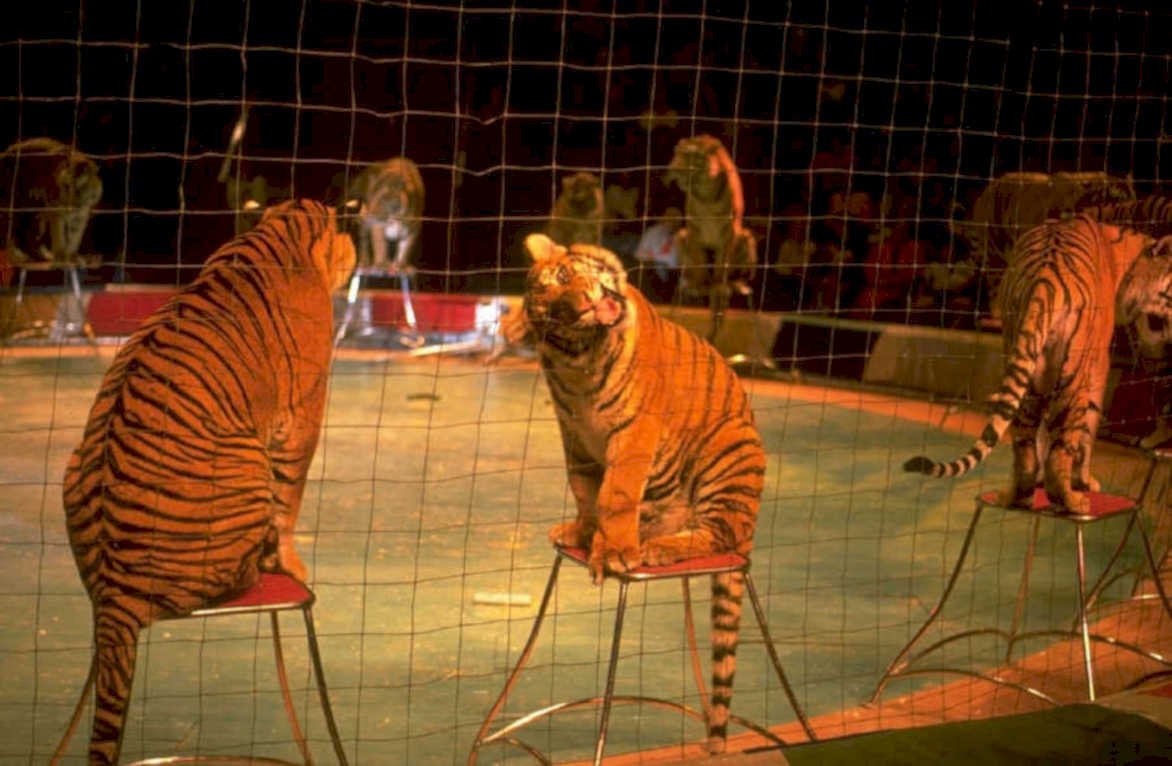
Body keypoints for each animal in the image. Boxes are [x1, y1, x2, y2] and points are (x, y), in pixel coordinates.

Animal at [59, 199, 356, 766]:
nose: (353, 245)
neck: (279, 232)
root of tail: (115, 594)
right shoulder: (304, 417)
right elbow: (290, 498)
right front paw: (291, 564)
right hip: (246, 460)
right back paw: (258, 568)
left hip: (73, 466)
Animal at [521, 232, 765, 752]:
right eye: (554, 313)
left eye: (566, 277)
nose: (583, 305)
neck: (581, 362)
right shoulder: (575, 435)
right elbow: (585, 489)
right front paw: (584, 533)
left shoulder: (634, 429)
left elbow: (616, 493)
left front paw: (613, 552)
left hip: (729, 449)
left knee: (717, 533)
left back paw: (655, 549)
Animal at [905, 213, 1172, 514]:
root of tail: (1045, 280)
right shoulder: (1098, 365)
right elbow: (1088, 428)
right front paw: (1085, 481)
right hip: (1073, 376)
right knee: (1062, 448)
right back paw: (1071, 501)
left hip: (1022, 358)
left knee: (1024, 442)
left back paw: (1017, 495)